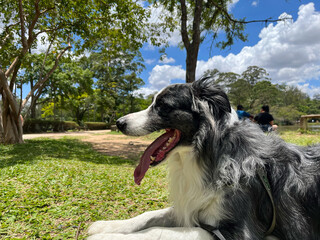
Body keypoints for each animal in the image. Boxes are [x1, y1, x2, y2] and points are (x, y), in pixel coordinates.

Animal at [87, 78, 320, 239]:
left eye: (163, 106)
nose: (119, 123)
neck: (207, 155)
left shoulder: (241, 230)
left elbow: (161, 231)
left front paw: (107, 236)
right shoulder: (193, 204)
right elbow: (150, 215)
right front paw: (107, 226)